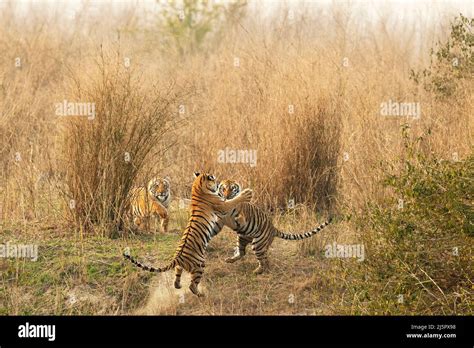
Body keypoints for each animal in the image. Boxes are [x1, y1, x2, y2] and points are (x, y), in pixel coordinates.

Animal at [124, 172, 254, 296]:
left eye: (164, 186)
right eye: (216, 181)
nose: (218, 184)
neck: (197, 189)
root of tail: (177, 258)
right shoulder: (222, 205)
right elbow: (232, 201)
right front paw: (247, 193)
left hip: (180, 267)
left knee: (177, 275)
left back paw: (178, 286)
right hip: (200, 265)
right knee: (192, 285)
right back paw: (201, 294)